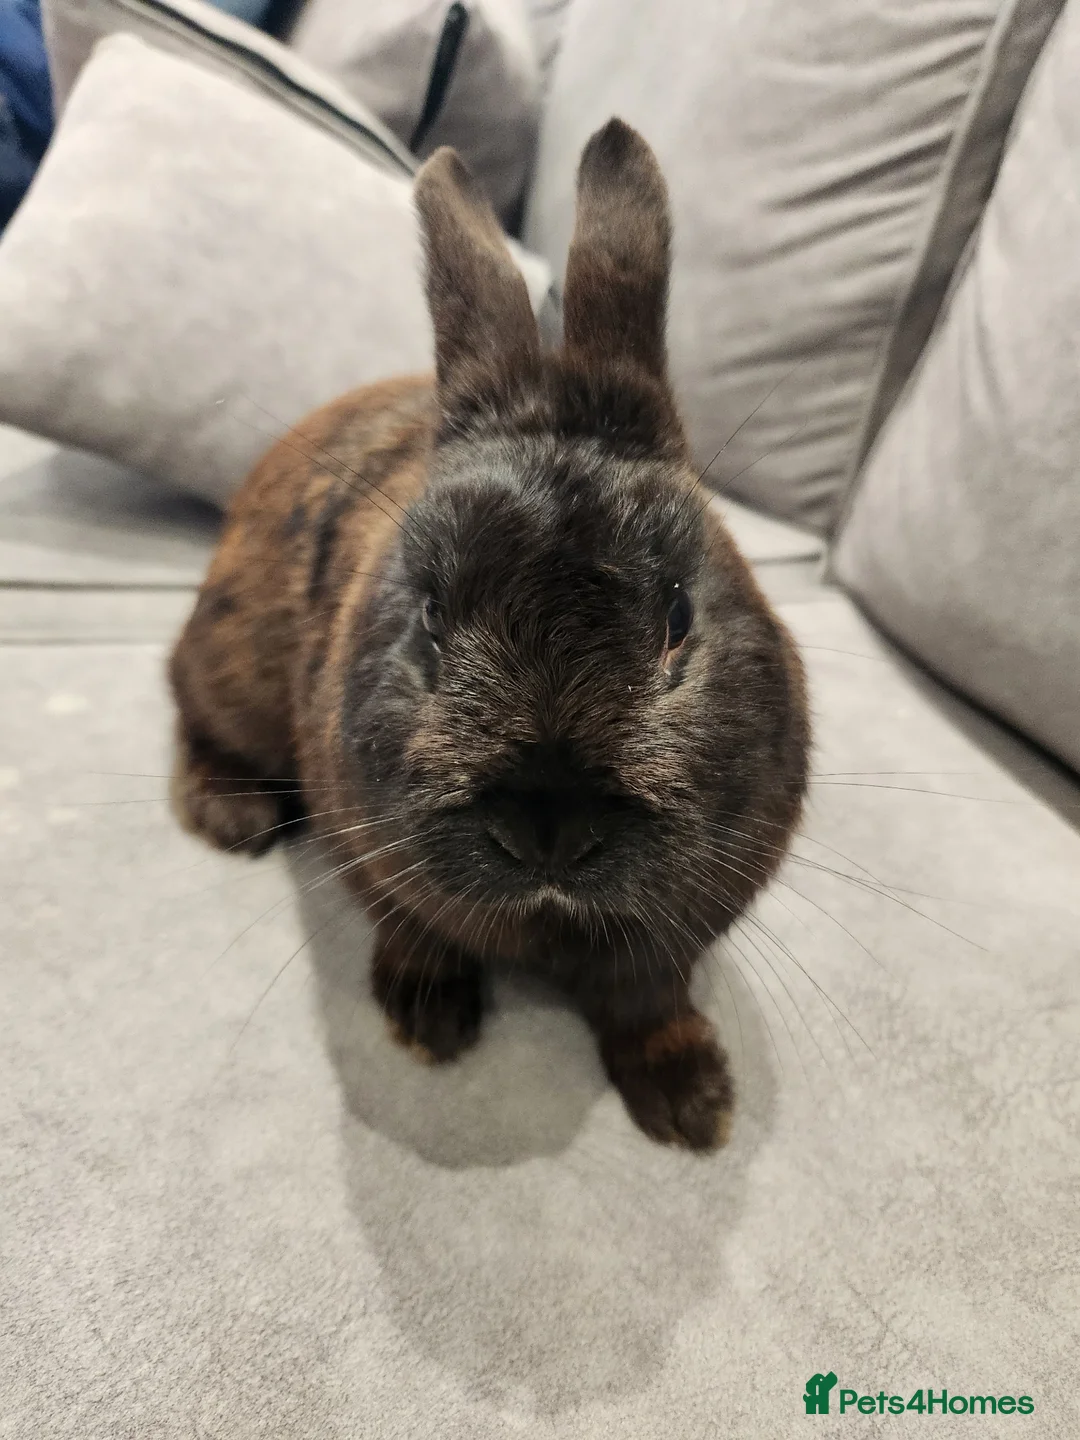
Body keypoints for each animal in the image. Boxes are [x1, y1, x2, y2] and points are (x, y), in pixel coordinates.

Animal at [168, 119, 810, 1151]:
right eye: (431, 613)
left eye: (679, 615)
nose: (548, 828)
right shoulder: (376, 858)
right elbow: (415, 932)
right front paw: (430, 1025)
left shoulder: (676, 934)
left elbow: (647, 1002)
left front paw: (694, 1108)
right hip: (234, 665)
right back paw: (233, 817)